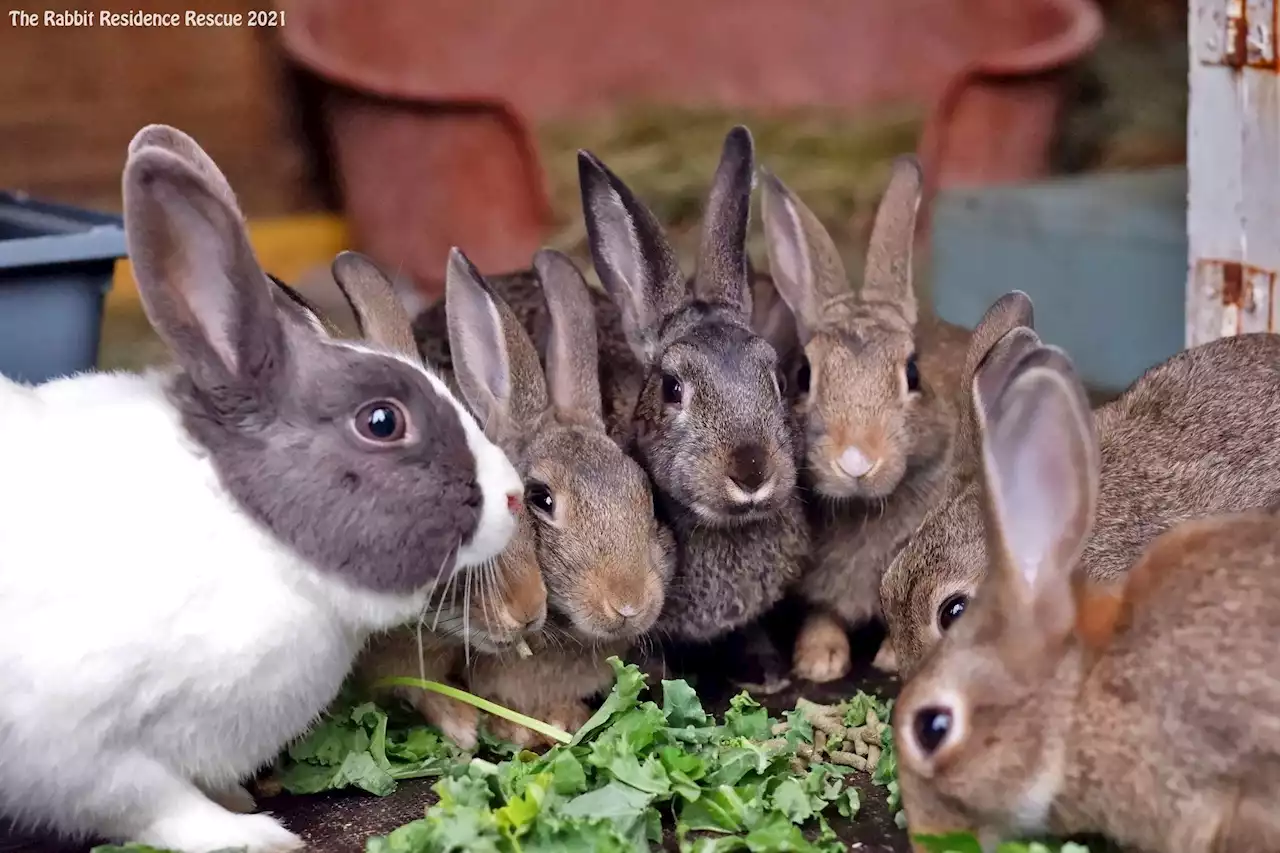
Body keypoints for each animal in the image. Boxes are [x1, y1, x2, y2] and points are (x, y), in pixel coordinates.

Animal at [0, 124, 524, 850]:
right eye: (382, 421)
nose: (513, 495)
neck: (255, 533)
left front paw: (240, 801)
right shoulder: (78, 745)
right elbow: (152, 801)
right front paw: (252, 835)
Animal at [752, 156, 962, 681]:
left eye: (913, 373)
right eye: (803, 375)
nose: (855, 460)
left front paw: (887, 656)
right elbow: (823, 613)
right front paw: (818, 661)